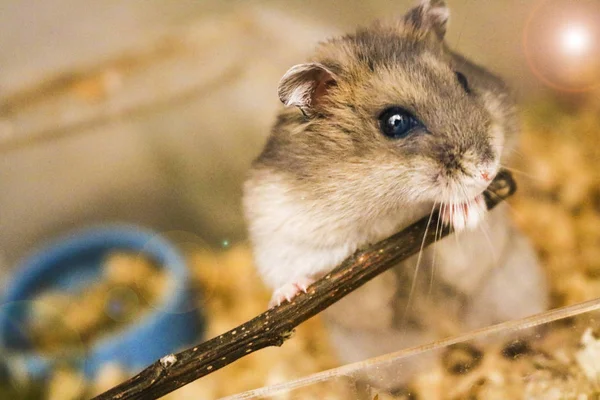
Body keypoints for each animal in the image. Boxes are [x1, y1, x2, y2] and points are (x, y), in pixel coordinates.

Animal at [240, 0, 548, 366]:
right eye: (395, 122)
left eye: (462, 79)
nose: (487, 170)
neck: (389, 204)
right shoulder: (284, 230)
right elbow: (304, 269)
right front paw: (288, 294)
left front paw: (465, 212)